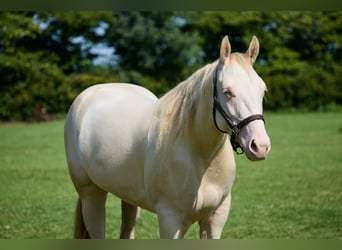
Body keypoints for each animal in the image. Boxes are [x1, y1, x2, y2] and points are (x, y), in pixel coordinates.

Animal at [65, 35, 270, 238]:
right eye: (227, 92)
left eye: (263, 90)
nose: (260, 146)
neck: (198, 156)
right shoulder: (170, 219)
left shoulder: (215, 218)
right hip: (91, 194)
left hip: (128, 196)